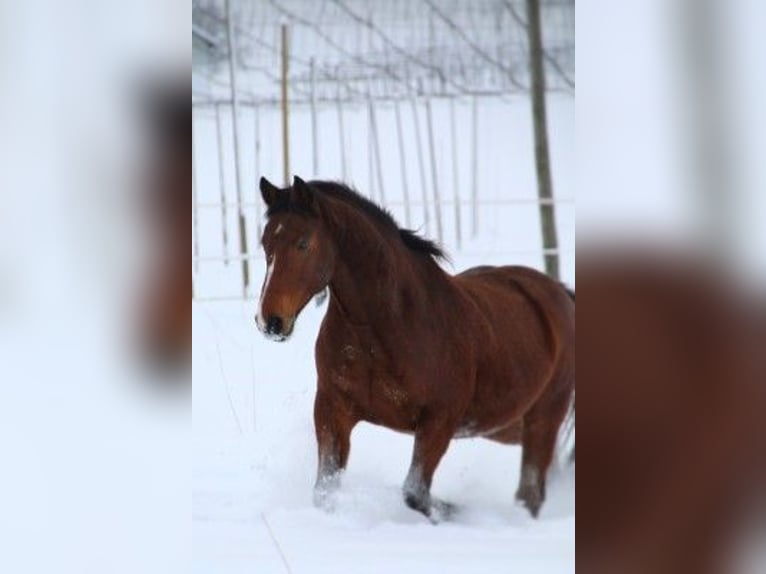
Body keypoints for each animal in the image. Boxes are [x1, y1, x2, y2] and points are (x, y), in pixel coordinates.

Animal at [256, 176, 575, 521]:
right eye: (265, 243)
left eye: (303, 243)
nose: (270, 321)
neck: (385, 328)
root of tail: (561, 292)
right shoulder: (331, 407)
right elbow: (325, 490)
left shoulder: (439, 421)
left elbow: (414, 492)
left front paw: (457, 510)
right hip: (507, 426)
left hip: (544, 417)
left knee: (530, 493)